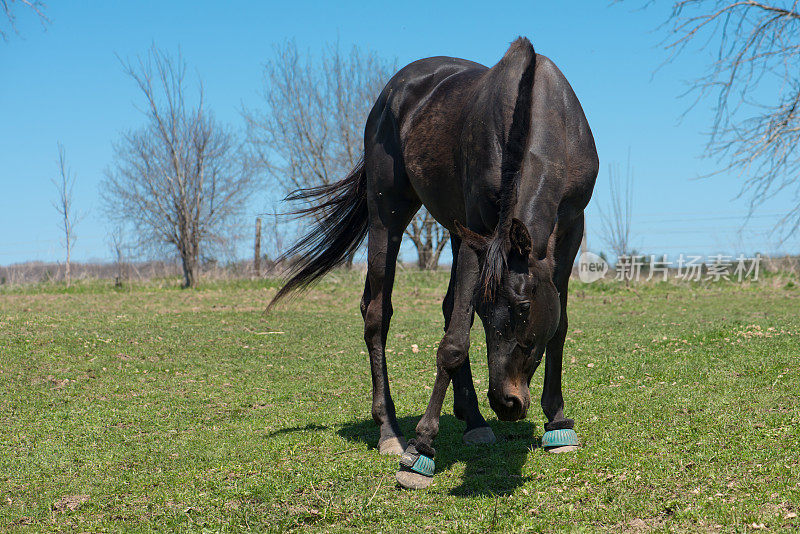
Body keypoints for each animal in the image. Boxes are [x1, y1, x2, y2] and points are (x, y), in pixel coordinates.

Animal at [272, 36, 596, 490]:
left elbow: (559, 327)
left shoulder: (568, 229)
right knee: (376, 314)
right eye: (486, 314)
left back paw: (474, 420)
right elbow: (454, 343)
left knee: (439, 309)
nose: (507, 402)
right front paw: (421, 450)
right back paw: (390, 430)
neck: (541, 111)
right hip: (388, 214)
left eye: (523, 308)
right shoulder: (481, 229)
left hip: (457, 233)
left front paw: (559, 423)